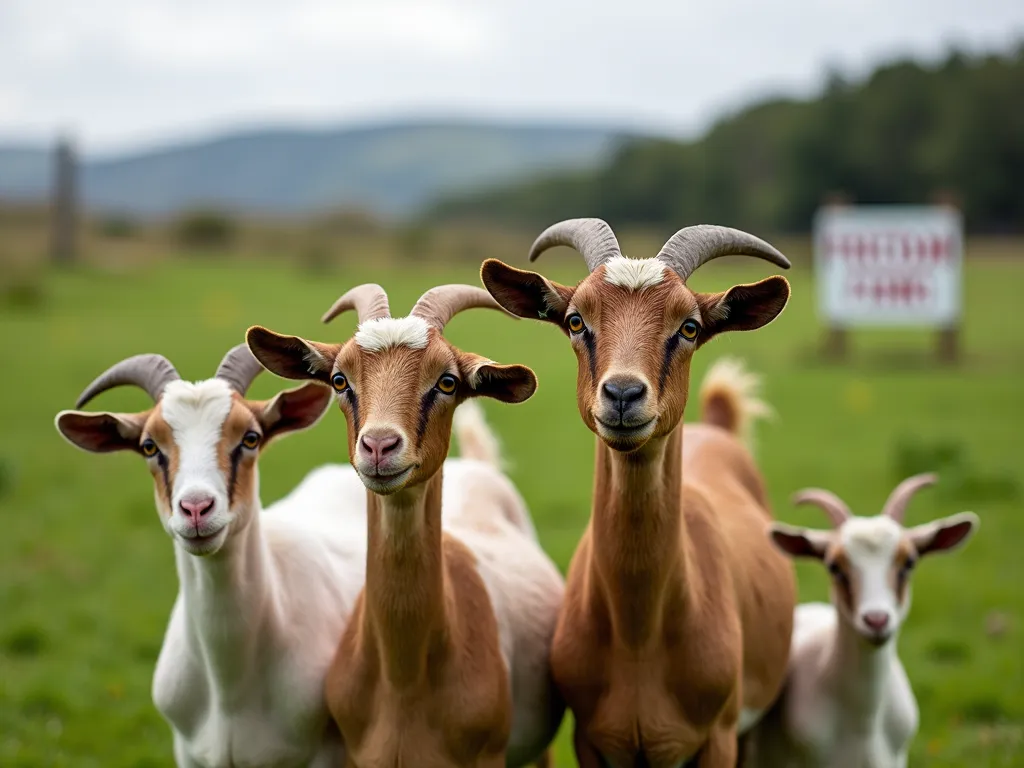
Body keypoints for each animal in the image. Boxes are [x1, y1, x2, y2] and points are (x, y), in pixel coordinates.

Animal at [55, 345, 368, 768]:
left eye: (251, 438)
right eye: (149, 446)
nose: (196, 508)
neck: (230, 686)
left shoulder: (328, 753)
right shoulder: (188, 753)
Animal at [480, 219, 798, 767]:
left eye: (689, 326)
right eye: (575, 321)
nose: (624, 394)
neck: (639, 638)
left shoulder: (718, 737)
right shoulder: (594, 741)